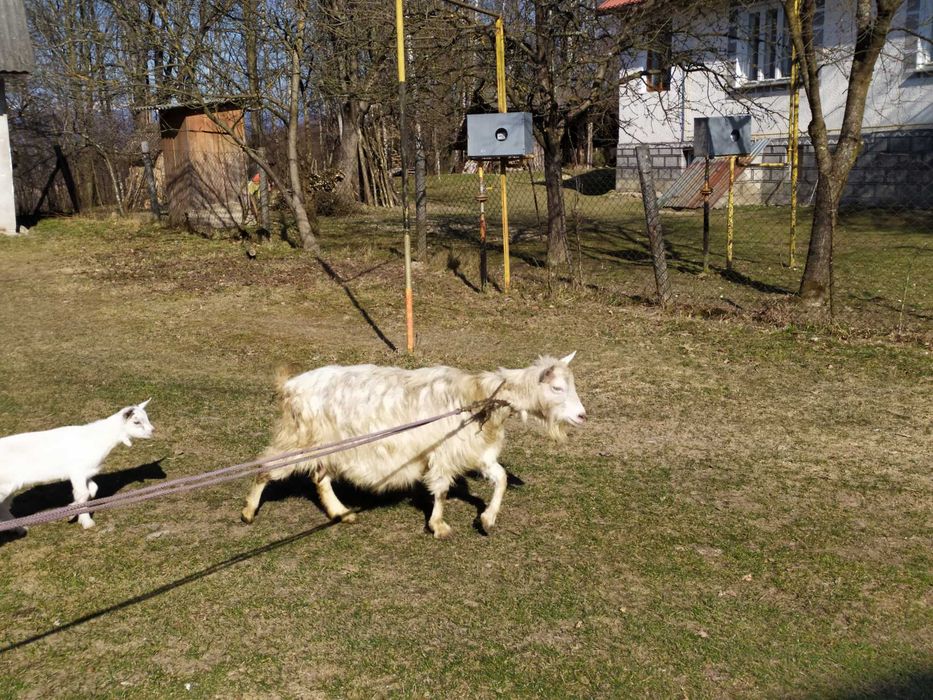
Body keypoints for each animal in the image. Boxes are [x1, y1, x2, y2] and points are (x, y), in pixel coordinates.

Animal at [0, 400, 155, 532]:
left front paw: (73, 509)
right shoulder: (77, 471)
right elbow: (84, 493)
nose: (153, 431)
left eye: (147, 417)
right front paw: (85, 521)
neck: (98, 438)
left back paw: (19, 528)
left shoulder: (86, 472)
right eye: (136, 422)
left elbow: (92, 490)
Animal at [241, 354, 585, 538]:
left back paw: (341, 512)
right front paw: (439, 525)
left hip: (327, 446)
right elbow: (442, 490)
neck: (477, 396)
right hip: (298, 438)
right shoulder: (443, 452)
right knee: (266, 466)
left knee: (319, 477)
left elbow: (499, 478)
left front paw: (487, 520)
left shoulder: (475, 451)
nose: (582, 415)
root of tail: (290, 386)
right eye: (557, 388)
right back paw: (248, 511)